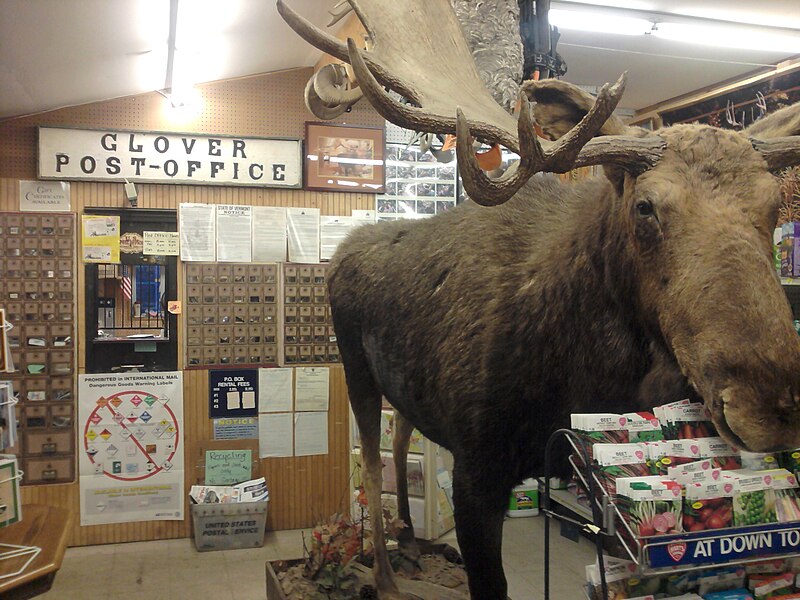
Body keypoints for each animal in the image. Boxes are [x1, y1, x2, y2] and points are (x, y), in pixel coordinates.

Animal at [276, 1, 800, 600]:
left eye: (773, 204)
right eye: (645, 207)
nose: (771, 403)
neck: (583, 381)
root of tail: (342, 252)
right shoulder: (476, 469)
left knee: (402, 430)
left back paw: (410, 543)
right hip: (355, 369)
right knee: (367, 460)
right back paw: (384, 574)